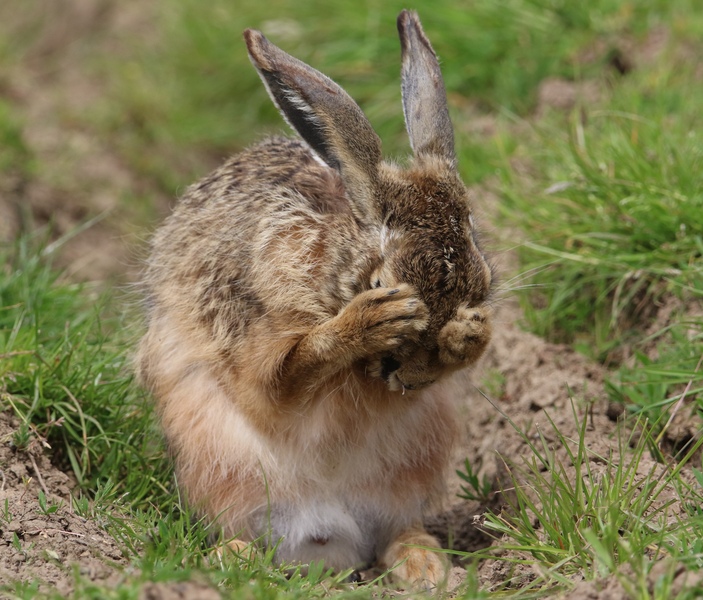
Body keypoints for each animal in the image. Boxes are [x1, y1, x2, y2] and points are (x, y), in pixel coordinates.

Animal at [137, 9, 495, 589]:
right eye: (380, 282)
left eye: (481, 283)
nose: (414, 378)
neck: (332, 273)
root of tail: (328, 541)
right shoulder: (250, 331)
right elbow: (278, 381)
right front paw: (367, 323)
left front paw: (470, 334)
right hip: (213, 456)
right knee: (234, 526)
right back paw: (232, 561)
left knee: (397, 531)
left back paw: (426, 566)